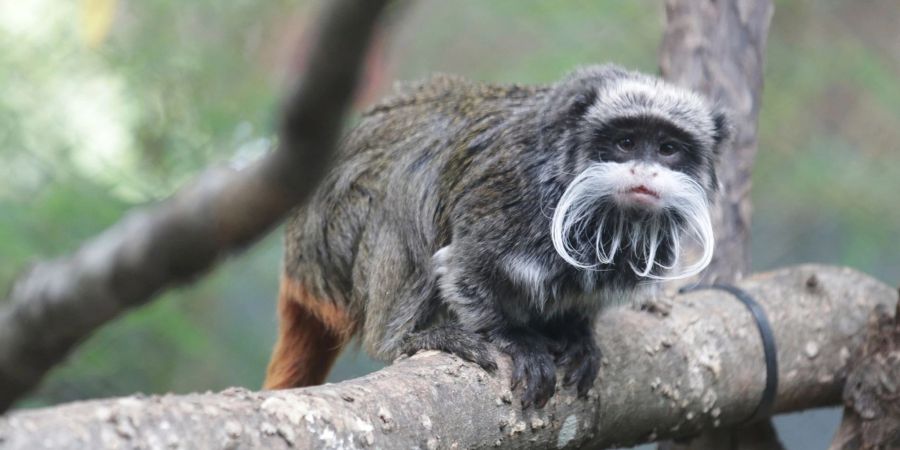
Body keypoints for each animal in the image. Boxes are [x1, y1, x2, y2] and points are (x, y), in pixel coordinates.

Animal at [264, 64, 728, 408]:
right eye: (626, 142)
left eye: (668, 149)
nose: (645, 172)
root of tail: (296, 260)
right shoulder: (509, 198)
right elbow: (462, 270)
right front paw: (516, 339)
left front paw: (577, 333)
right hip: (333, 242)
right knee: (407, 187)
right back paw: (405, 337)